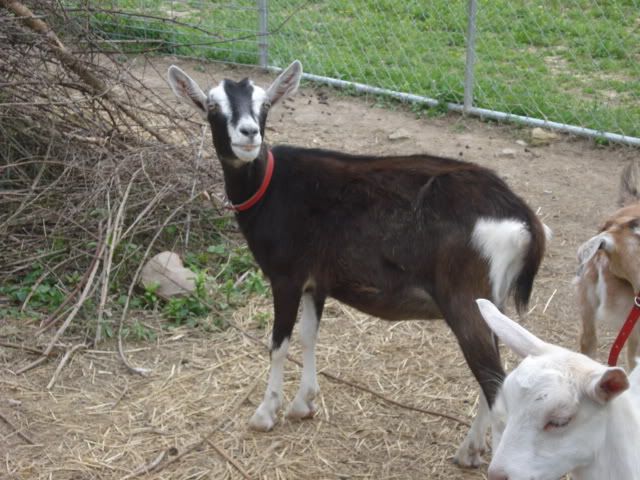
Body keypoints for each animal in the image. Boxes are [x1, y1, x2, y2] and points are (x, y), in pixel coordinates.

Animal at [167, 60, 548, 467]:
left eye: (264, 104)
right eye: (212, 106)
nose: (248, 133)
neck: (270, 187)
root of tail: (521, 215)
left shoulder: (286, 276)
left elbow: (279, 343)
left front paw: (265, 413)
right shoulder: (316, 281)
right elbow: (310, 334)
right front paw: (303, 404)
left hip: (464, 300)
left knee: (494, 384)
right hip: (491, 304)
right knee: (493, 377)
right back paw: (469, 451)